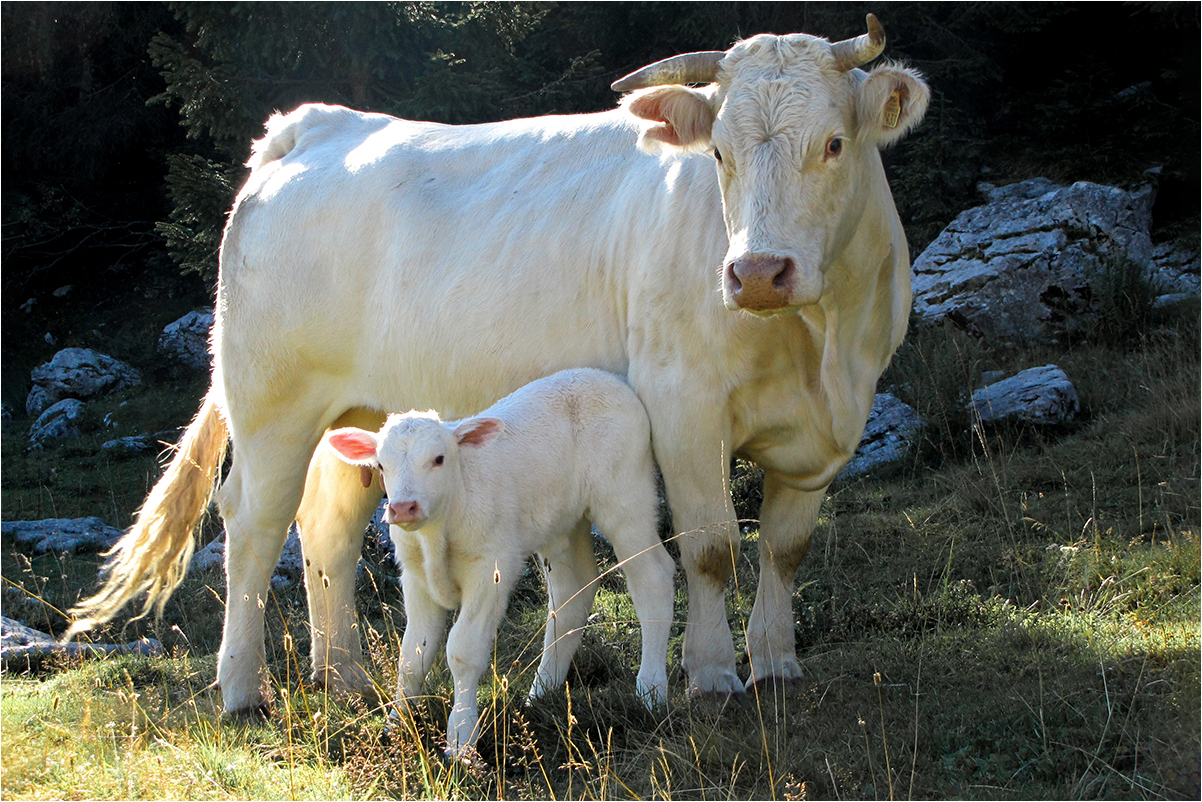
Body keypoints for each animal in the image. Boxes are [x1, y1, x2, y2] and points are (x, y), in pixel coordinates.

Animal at [68, 15, 927, 711]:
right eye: (717, 153)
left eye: (835, 143)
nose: (757, 273)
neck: (818, 342)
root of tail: (315, 124)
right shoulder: (684, 404)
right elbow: (712, 548)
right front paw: (713, 675)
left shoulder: (832, 424)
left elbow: (785, 548)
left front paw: (776, 663)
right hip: (271, 402)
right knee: (252, 526)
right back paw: (242, 692)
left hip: (357, 415)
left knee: (328, 529)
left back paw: (344, 680)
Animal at [324, 370, 677, 759]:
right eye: (381, 465)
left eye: (439, 458)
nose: (403, 507)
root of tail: (602, 378)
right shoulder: (416, 578)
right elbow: (413, 656)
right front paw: (397, 726)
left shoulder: (491, 567)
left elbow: (462, 651)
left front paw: (460, 741)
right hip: (561, 522)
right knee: (573, 592)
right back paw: (542, 692)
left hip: (625, 495)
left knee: (653, 576)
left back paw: (650, 691)